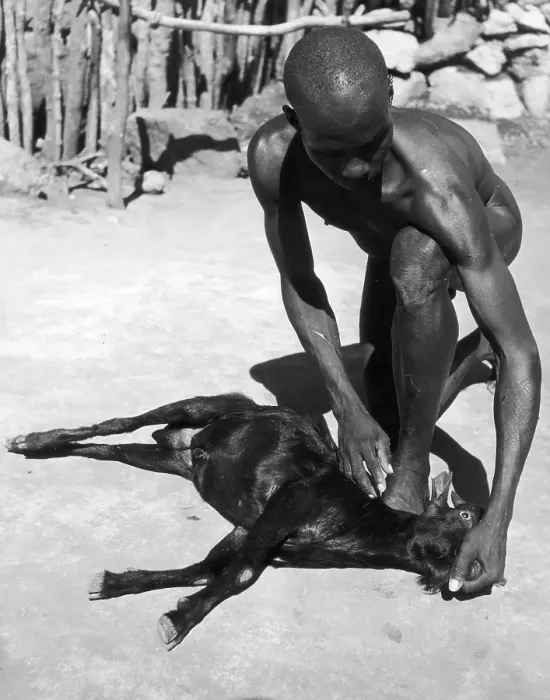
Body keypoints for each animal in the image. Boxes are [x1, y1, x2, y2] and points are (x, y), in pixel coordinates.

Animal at [7, 392, 483, 651]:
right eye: (464, 514)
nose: (476, 569)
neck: (359, 524)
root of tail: (190, 441)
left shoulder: (247, 530)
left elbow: (202, 570)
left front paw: (118, 583)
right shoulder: (287, 502)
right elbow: (243, 574)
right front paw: (178, 620)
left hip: (171, 460)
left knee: (111, 450)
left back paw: (43, 448)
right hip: (200, 405)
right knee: (120, 422)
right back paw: (32, 439)